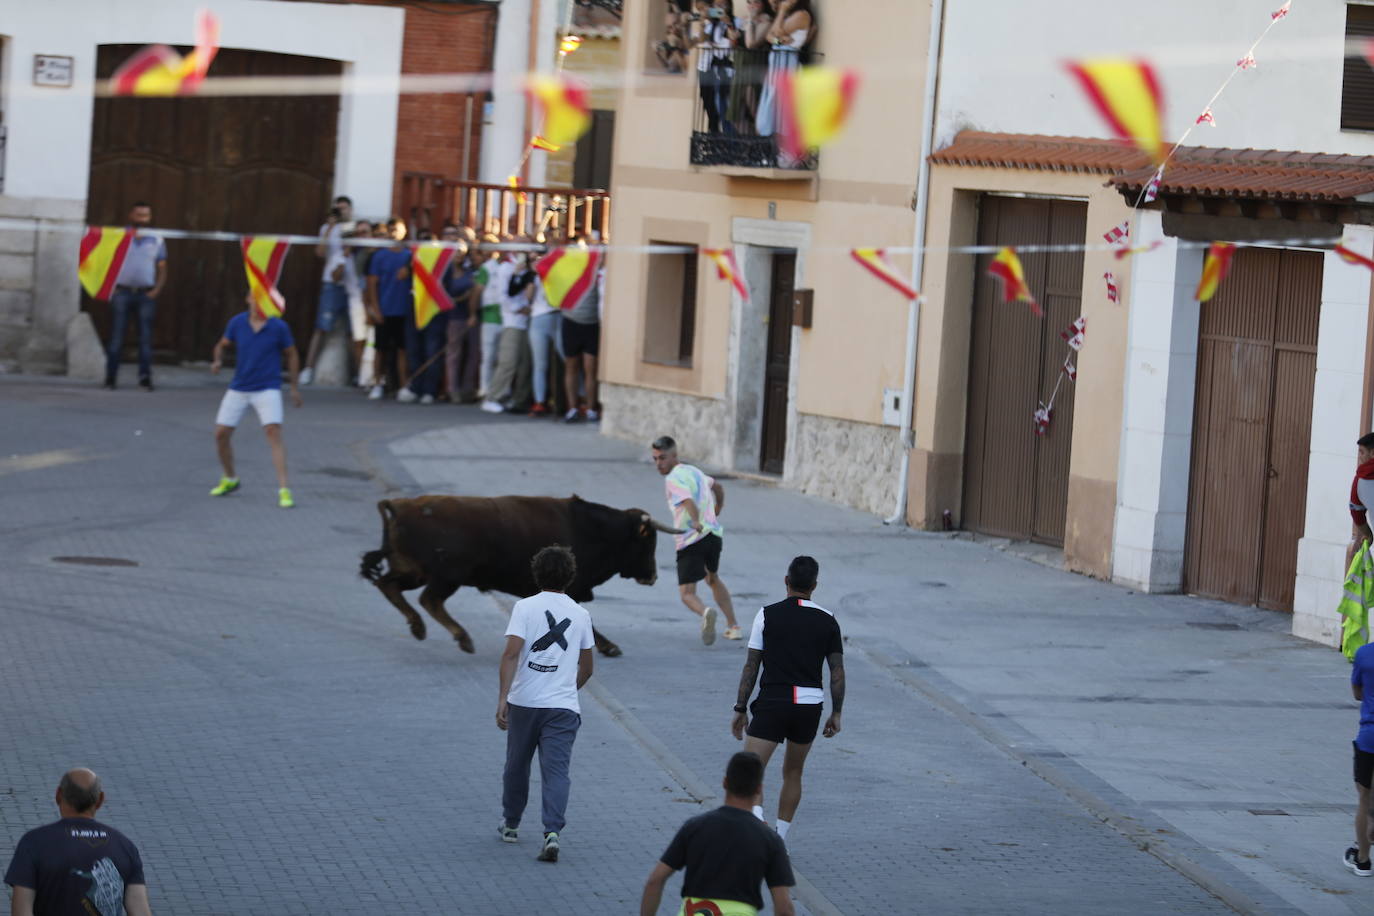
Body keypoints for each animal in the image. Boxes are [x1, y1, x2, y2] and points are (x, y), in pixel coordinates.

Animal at [354, 497, 676, 656]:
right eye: (648, 540)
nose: (652, 576)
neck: (593, 529)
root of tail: (400, 506)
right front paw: (609, 646)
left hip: (414, 570)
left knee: (388, 585)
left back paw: (418, 627)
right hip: (446, 576)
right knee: (429, 599)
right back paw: (461, 637)